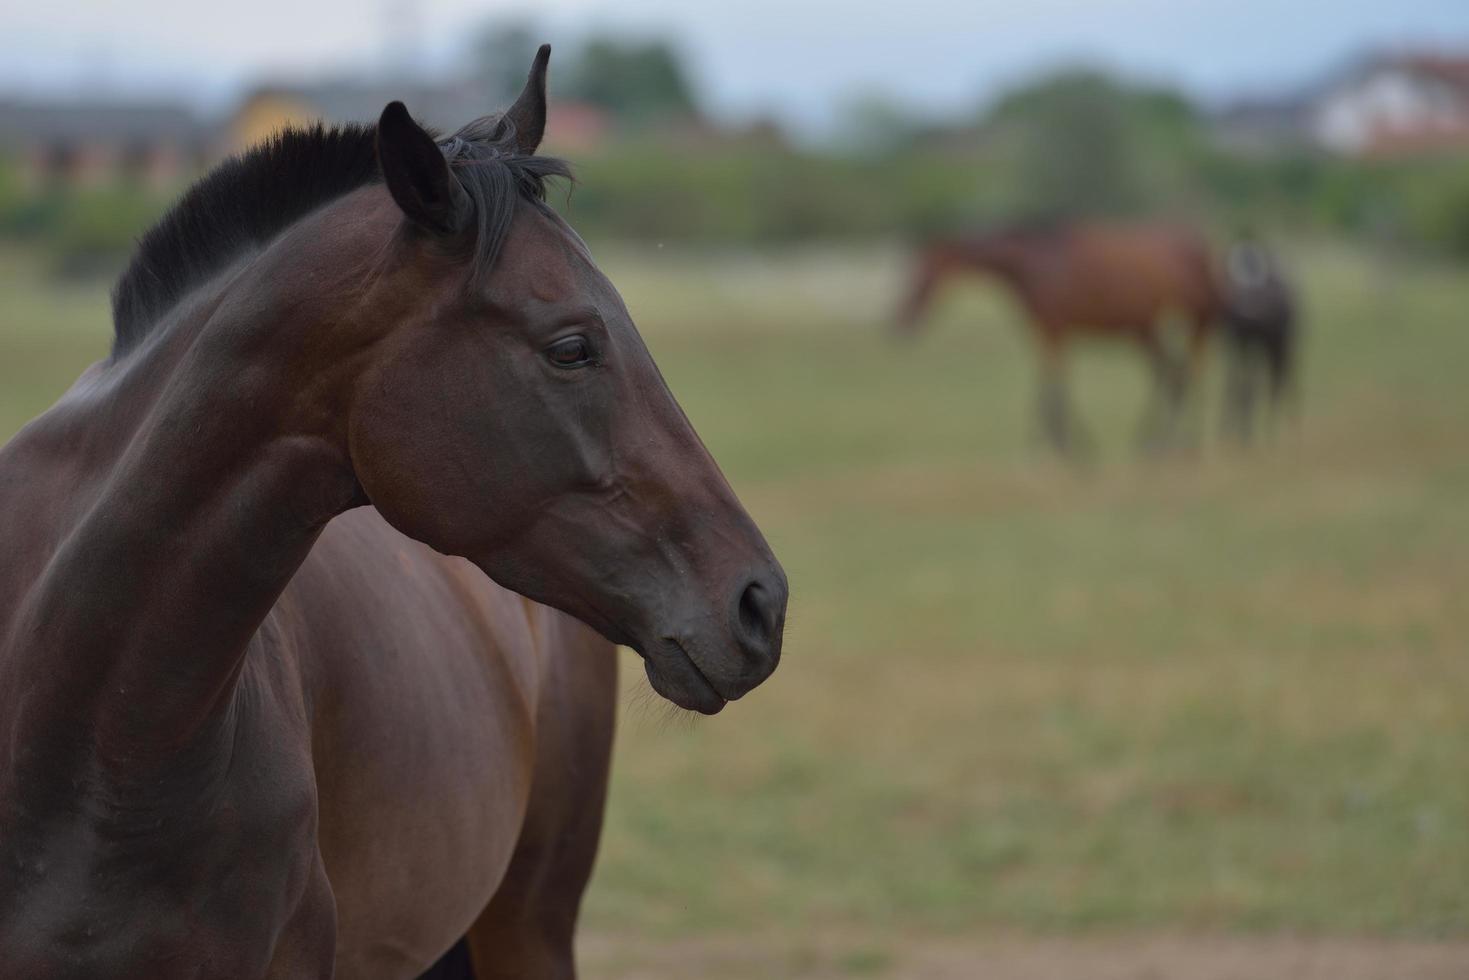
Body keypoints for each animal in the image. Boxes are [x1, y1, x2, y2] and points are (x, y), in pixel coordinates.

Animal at [893, 218, 1228, 455]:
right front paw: (1053, 444)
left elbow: (1054, 389)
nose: (900, 319)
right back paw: (1171, 441)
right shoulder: (1045, 333)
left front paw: (1066, 446)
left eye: (922, 273)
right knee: (1174, 374)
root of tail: (1200, 249)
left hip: (1183, 324)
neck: (1033, 264)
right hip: (1146, 330)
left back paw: (1167, 442)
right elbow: (1047, 386)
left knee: (1178, 374)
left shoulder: (1054, 331)